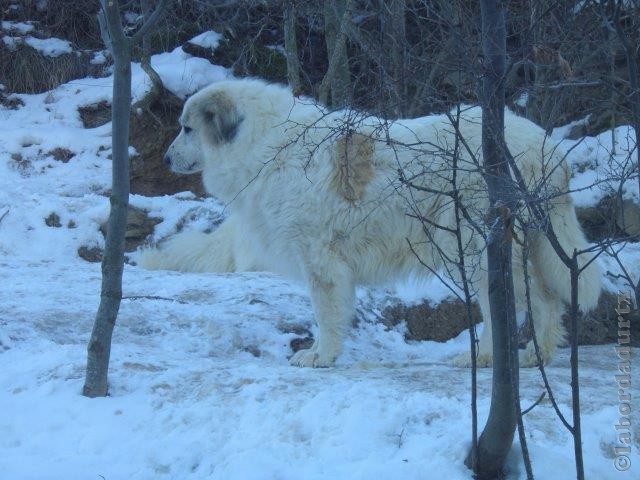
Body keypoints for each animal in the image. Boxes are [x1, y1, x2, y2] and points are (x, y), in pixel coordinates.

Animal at [139, 80, 600, 370]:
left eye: (186, 128)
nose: (165, 159)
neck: (264, 145)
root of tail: (545, 146)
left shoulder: (319, 259)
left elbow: (326, 313)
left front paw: (320, 357)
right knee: (545, 298)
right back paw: (538, 357)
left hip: (474, 249)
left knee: (506, 305)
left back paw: (487, 358)